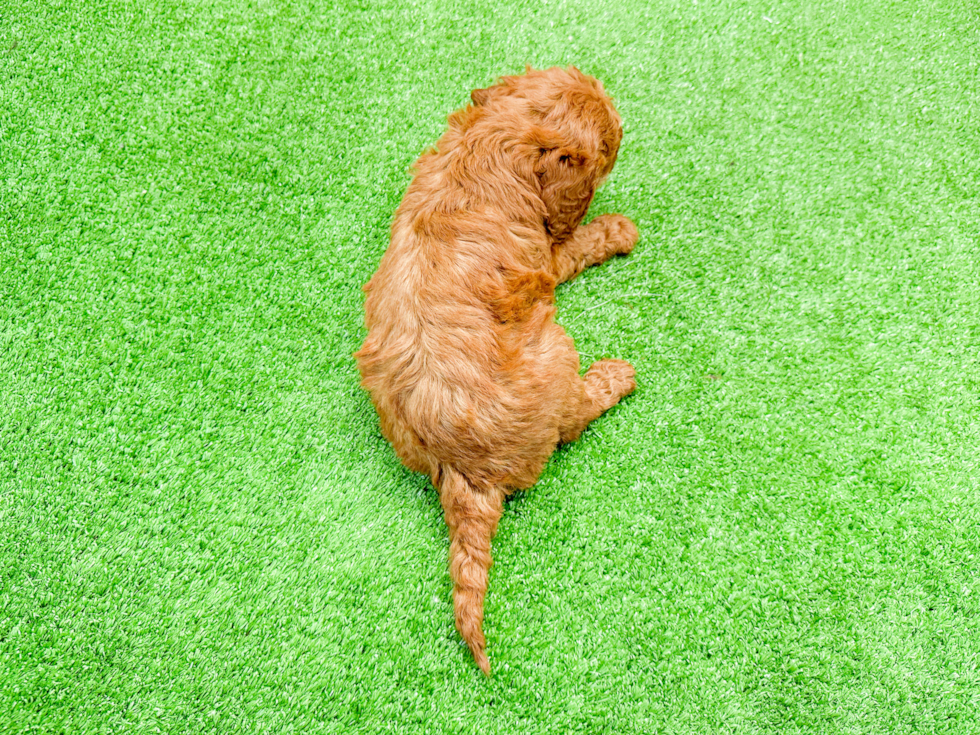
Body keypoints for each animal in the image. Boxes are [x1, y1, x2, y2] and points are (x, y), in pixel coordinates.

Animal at [356, 66, 640, 676]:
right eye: (609, 145)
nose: (624, 128)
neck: (491, 142)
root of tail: (465, 474)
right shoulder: (549, 258)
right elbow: (582, 240)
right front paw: (618, 228)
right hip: (554, 349)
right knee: (572, 419)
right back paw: (615, 375)